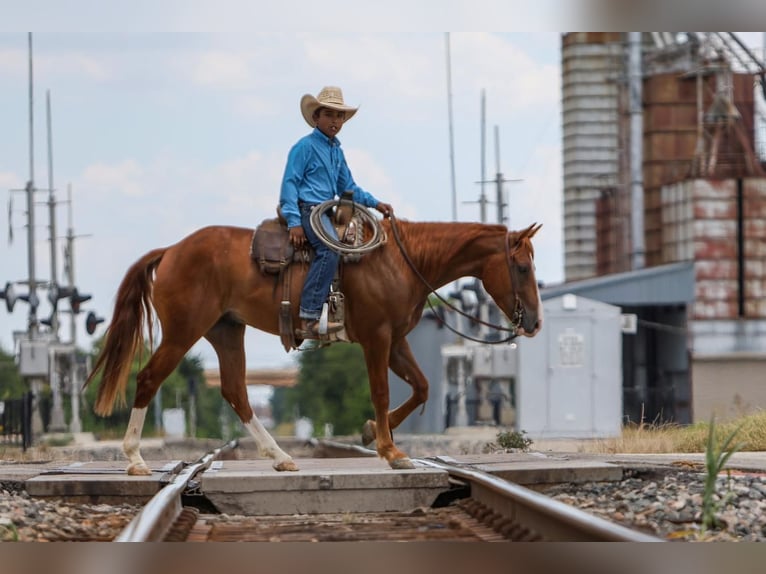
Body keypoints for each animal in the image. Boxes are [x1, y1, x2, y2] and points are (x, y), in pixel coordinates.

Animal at [85, 218, 544, 474]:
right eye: (522, 266)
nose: (536, 322)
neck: (401, 260)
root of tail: (170, 251)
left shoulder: (396, 340)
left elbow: (422, 387)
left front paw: (371, 432)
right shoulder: (377, 337)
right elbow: (382, 391)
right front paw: (390, 450)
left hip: (226, 331)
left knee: (235, 391)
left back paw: (280, 456)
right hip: (184, 331)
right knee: (148, 379)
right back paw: (135, 459)